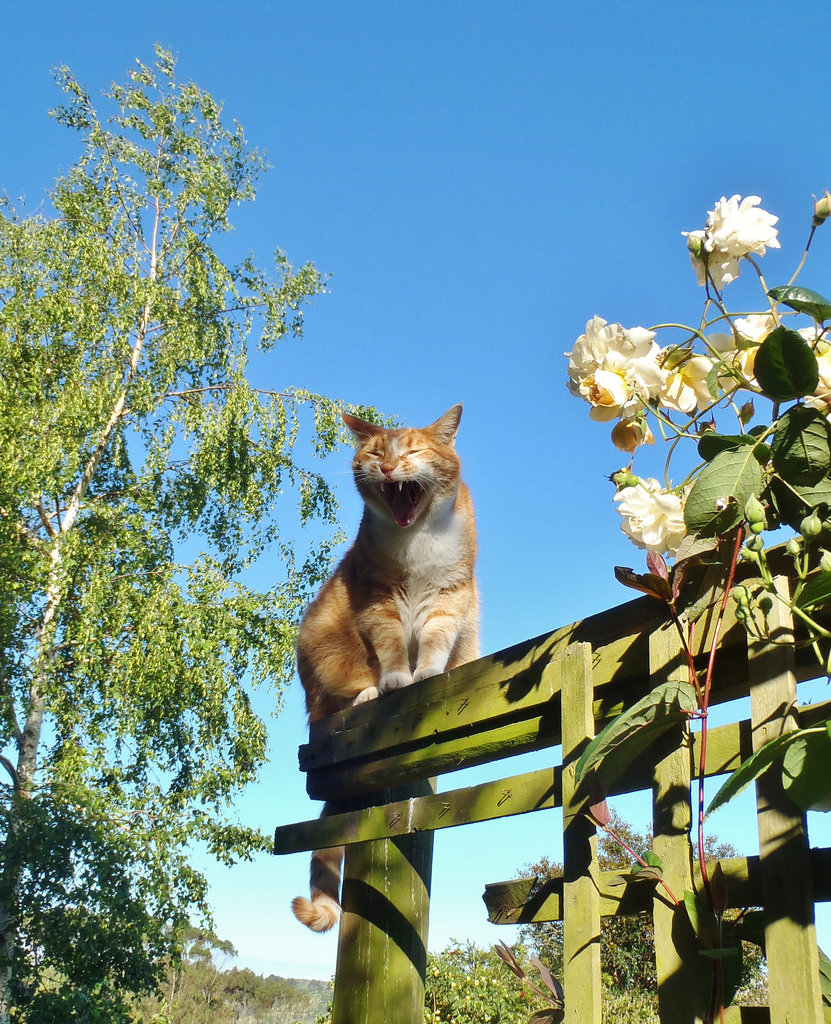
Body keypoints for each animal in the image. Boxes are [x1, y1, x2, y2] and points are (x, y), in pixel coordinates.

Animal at [292, 403, 480, 933]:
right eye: (376, 454)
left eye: (413, 451)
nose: (392, 467)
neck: (416, 544)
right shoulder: (379, 602)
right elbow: (393, 646)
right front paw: (396, 679)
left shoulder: (451, 598)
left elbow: (434, 640)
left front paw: (428, 672)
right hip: (321, 647)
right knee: (332, 707)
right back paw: (368, 693)